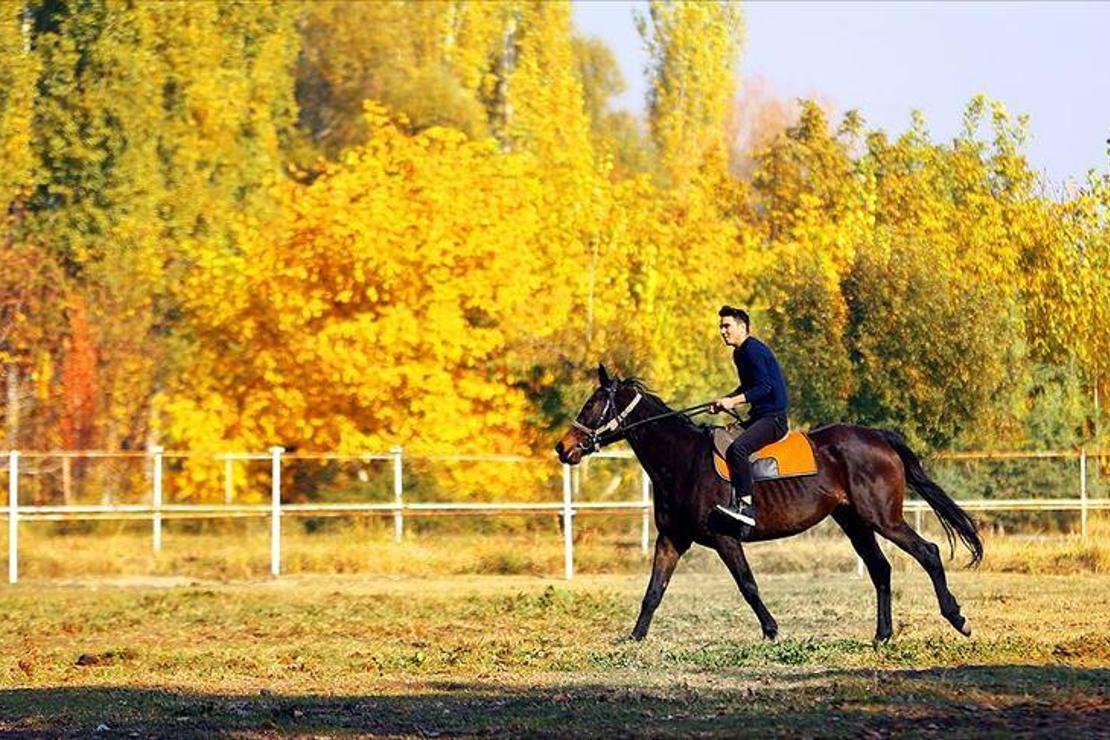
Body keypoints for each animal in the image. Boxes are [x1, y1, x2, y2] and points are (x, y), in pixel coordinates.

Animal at [552, 368, 981, 643]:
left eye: (592, 405)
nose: (562, 447)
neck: (683, 459)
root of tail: (877, 437)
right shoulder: (672, 540)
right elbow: (653, 591)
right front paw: (635, 637)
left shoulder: (724, 539)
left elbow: (748, 585)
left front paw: (772, 630)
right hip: (854, 521)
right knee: (881, 569)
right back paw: (883, 635)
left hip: (883, 518)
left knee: (928, 552)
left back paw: (957, 618)